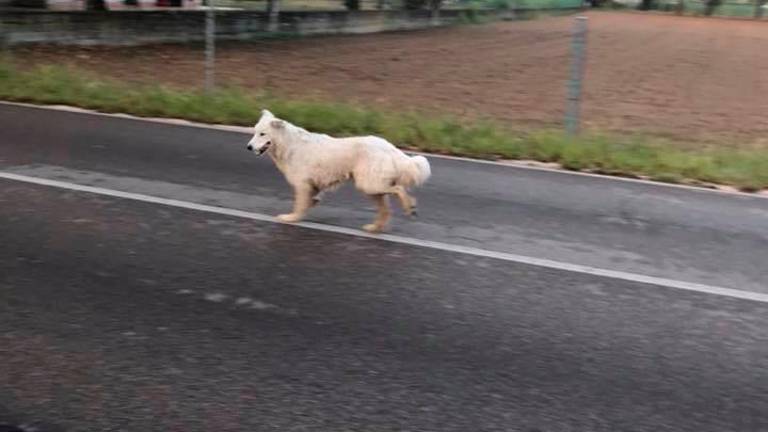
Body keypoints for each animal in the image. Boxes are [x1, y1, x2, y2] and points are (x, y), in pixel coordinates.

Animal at [249, 110, 436, 233]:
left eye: (262, 134)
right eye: (255, 132)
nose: (248, 147)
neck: (288, 144)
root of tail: (389, 146)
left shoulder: (302, 185)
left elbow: (299, 204)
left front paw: (292, 218)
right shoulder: (312, 186)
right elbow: (310, 201)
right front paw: (303, 211)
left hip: (368, 185)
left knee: (398, 189)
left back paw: (410, 207)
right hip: (371, 188)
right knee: (386, 209)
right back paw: (375, 228)